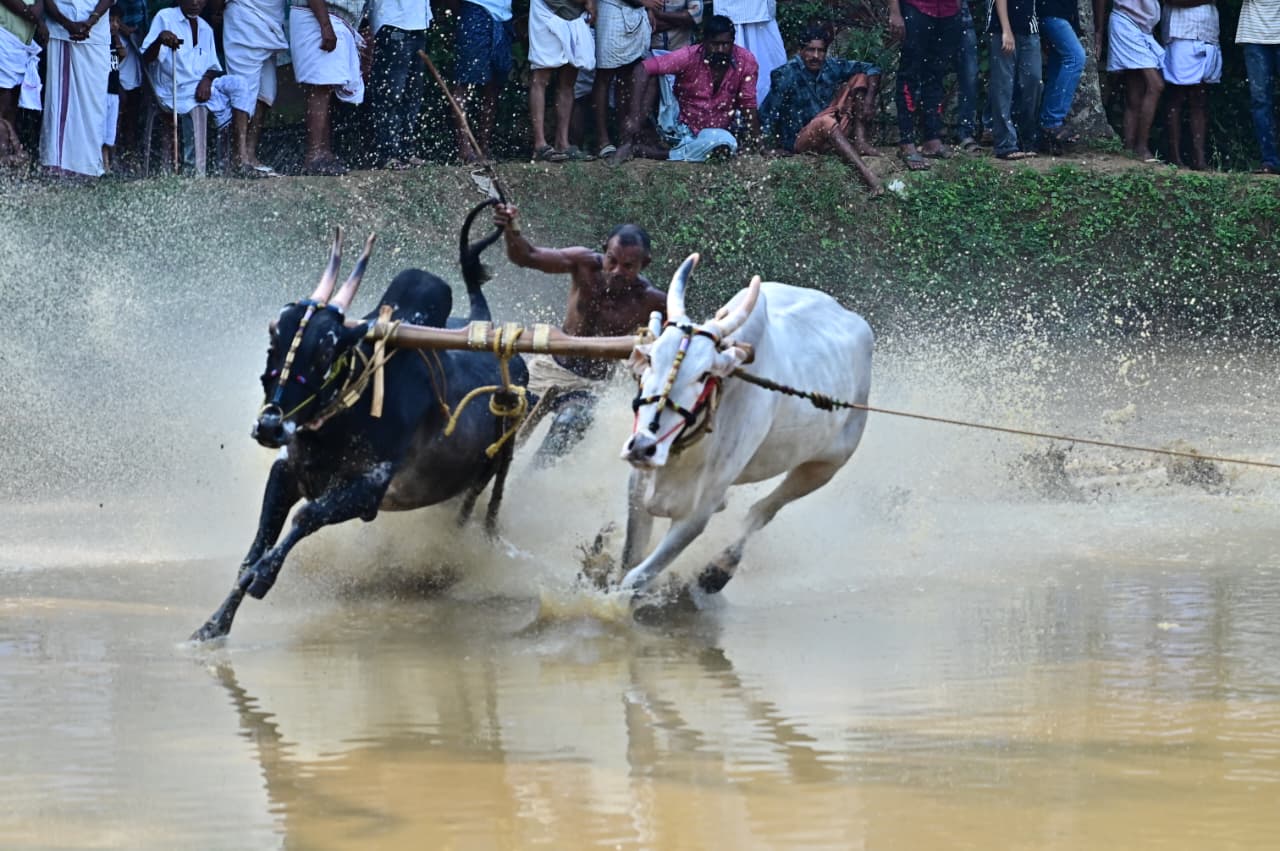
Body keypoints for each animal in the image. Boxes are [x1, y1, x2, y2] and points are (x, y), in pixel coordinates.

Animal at [191, 200, 529, 642]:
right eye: (273, 337)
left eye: (326, 350)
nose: (270, 426)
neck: (340, 420)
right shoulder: (287, 472)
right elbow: (256, 547)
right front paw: (213, 624)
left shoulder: (371, 488)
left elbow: (305, 518)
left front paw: (264, 577)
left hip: (488, 472)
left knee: (474, 513)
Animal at [615, 254, 873, 597]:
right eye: (652, 359)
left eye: (704, 375)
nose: (643, 448)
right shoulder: (638, 487)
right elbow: (629, 560)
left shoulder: (697, 514)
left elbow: (636, 578)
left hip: (824, 467)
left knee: (762, 512)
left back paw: (719, 569)